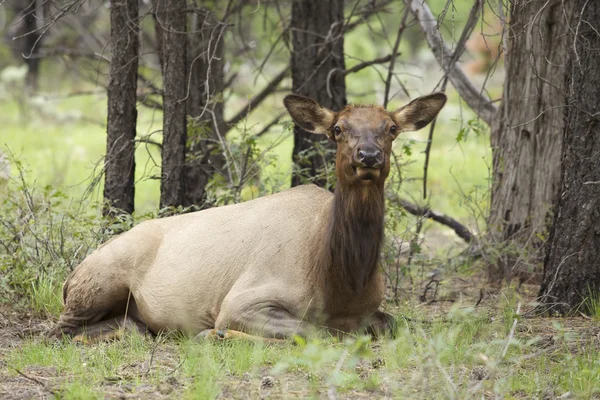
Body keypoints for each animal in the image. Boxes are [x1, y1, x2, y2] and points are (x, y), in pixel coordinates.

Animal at [49, 92, 446, 342]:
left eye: (391, 128)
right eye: (338, 129)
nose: (368, 156)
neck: (342, 284)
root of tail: (69, 278)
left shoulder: (374, 310)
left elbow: (394, 324)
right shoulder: (242, 300)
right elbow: (316, 332)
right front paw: (215, 333)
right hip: (98, 281)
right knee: (57, 331)